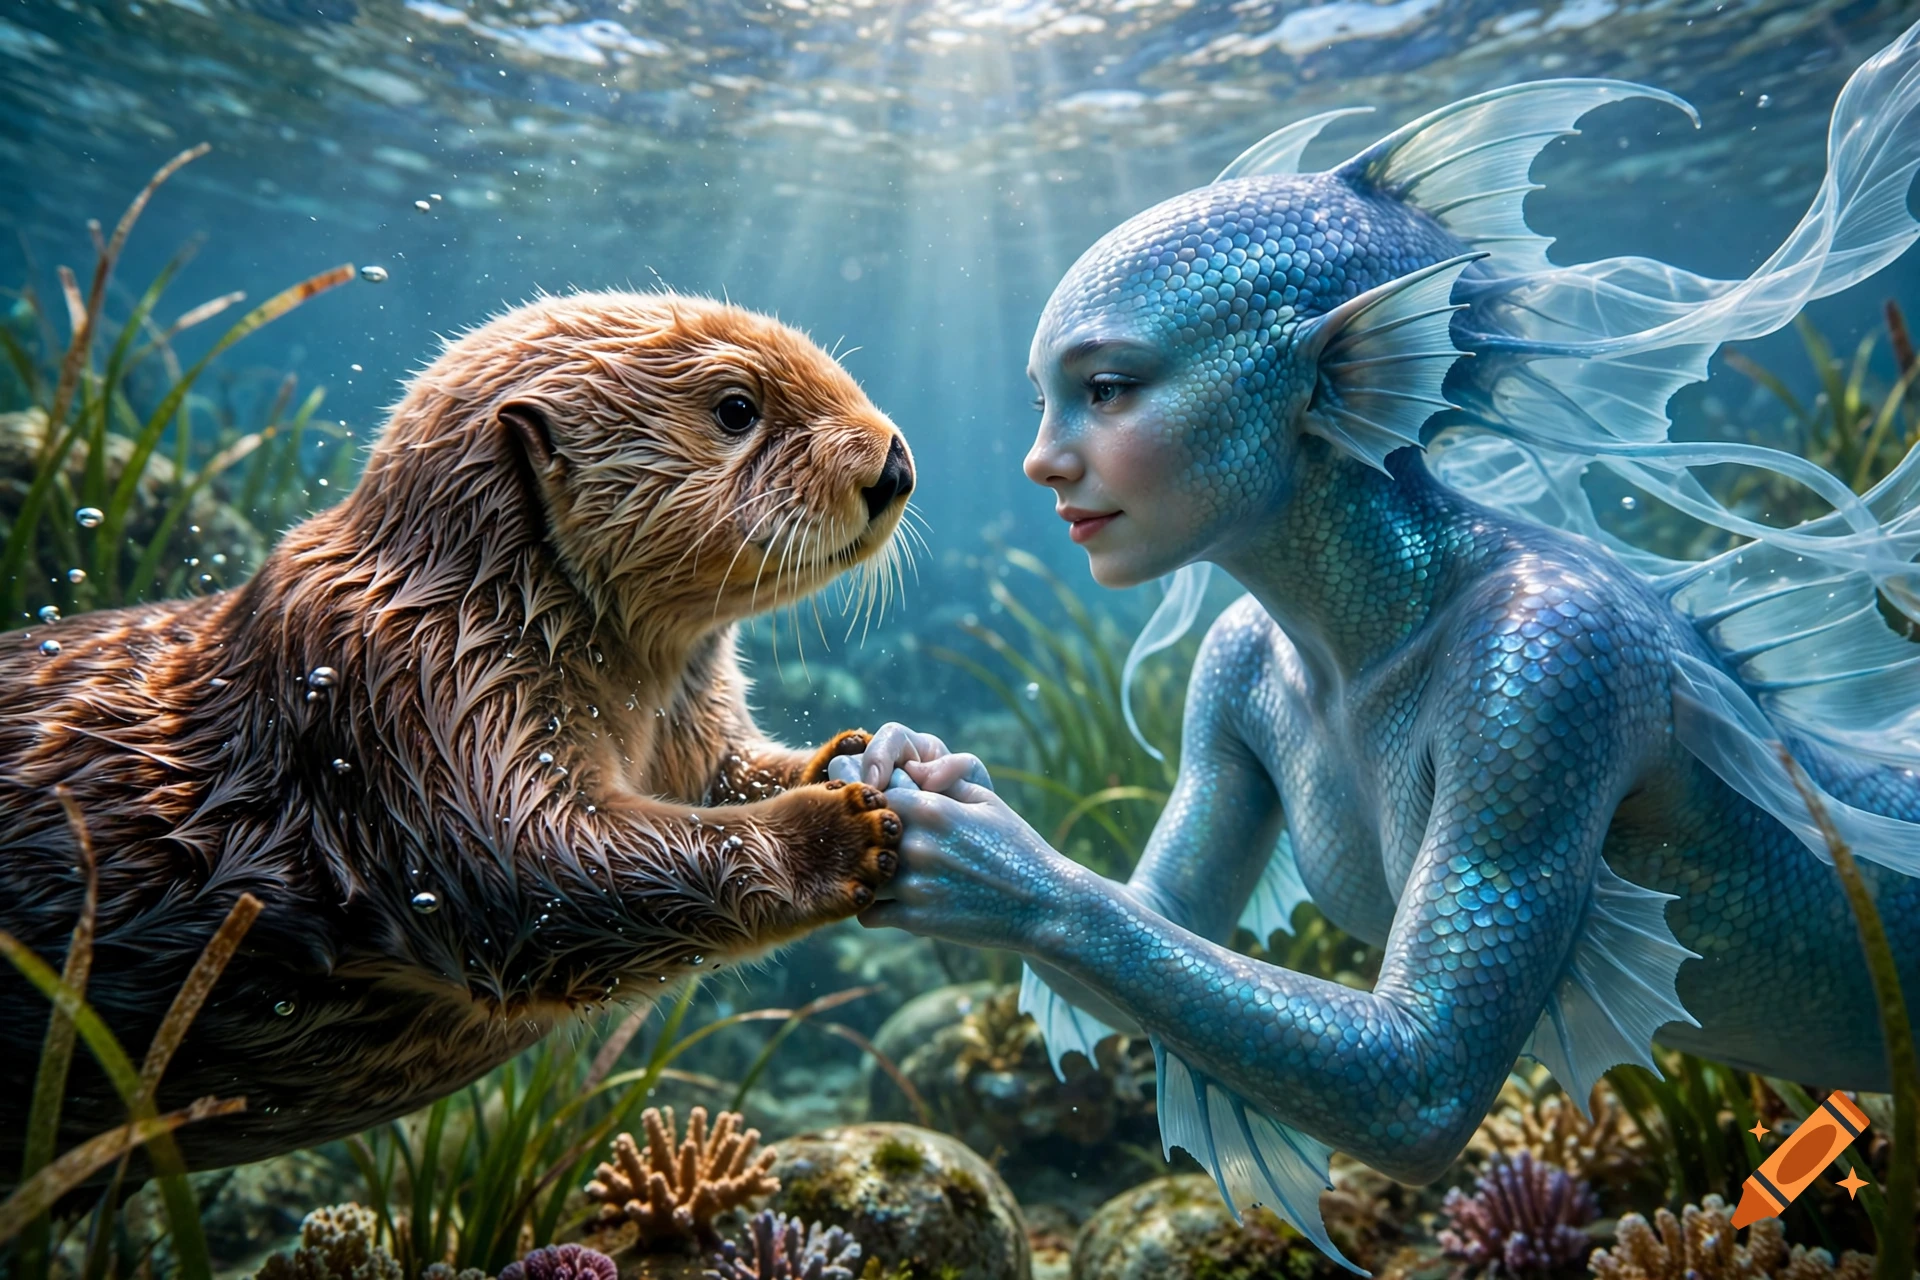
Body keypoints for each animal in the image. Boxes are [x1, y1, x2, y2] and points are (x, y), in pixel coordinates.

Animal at [0, 291, 911, 1180]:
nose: (895, 463)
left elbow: (722, 773)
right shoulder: (408, 695)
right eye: (736, 409)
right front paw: (838, 831)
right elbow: (537, 868)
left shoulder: (685, 715)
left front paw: (846, 754)